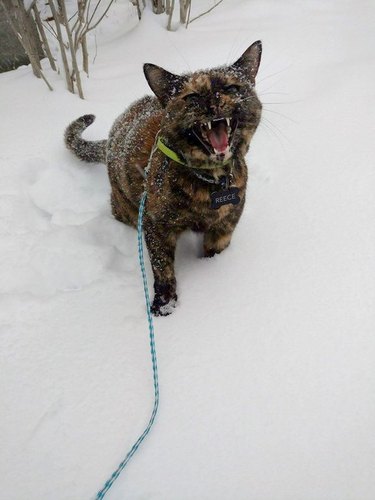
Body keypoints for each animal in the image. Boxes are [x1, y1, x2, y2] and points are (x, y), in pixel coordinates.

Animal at [64, 43, 262, 316]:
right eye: (192, 97)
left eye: (231, 88)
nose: (213, 102)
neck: (209, 181)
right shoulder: (155, 224)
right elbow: (162, 266)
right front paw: (165, 304)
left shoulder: (225, 225)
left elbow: (214, 251)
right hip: (127, 208)